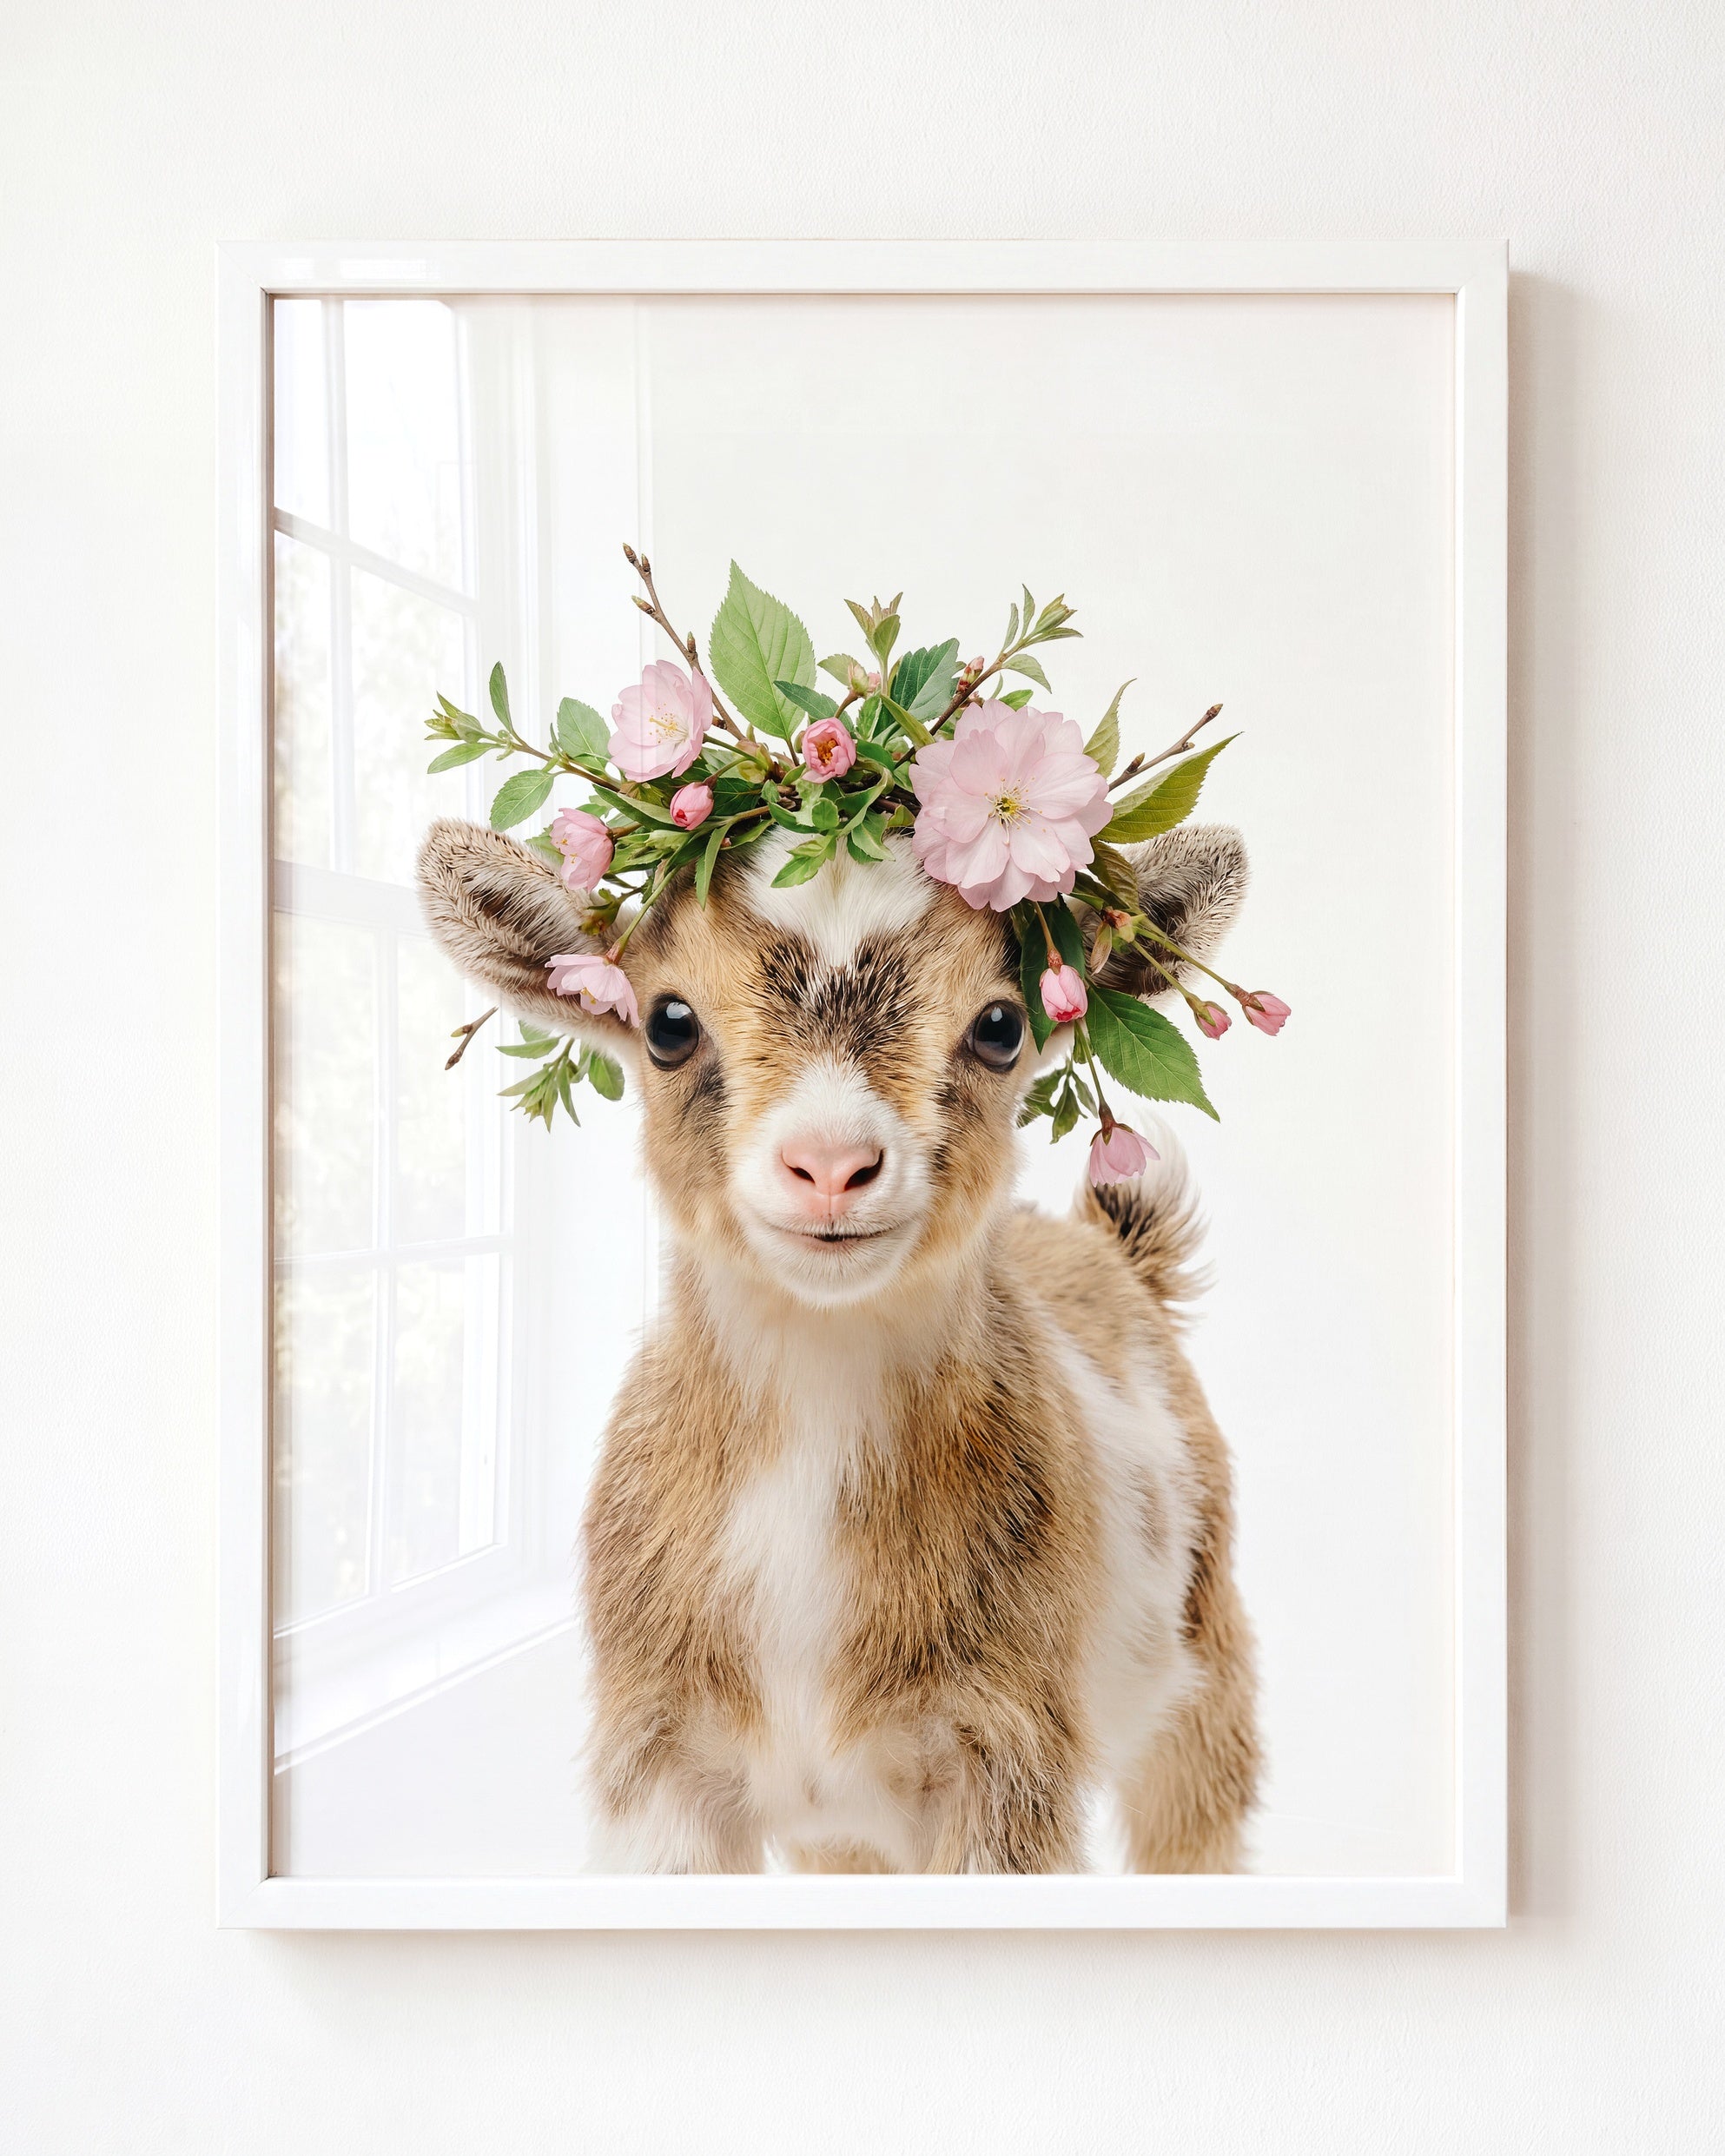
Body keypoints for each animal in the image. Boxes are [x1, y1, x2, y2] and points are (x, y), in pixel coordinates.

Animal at [417, 816, 1260, 1872]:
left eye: (1000, 1026)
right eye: (667, 1024)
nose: (829, 1165)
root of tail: (1114, 1251)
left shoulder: (1007, 1757)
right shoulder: (659, 1762)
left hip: (1208, 1669)